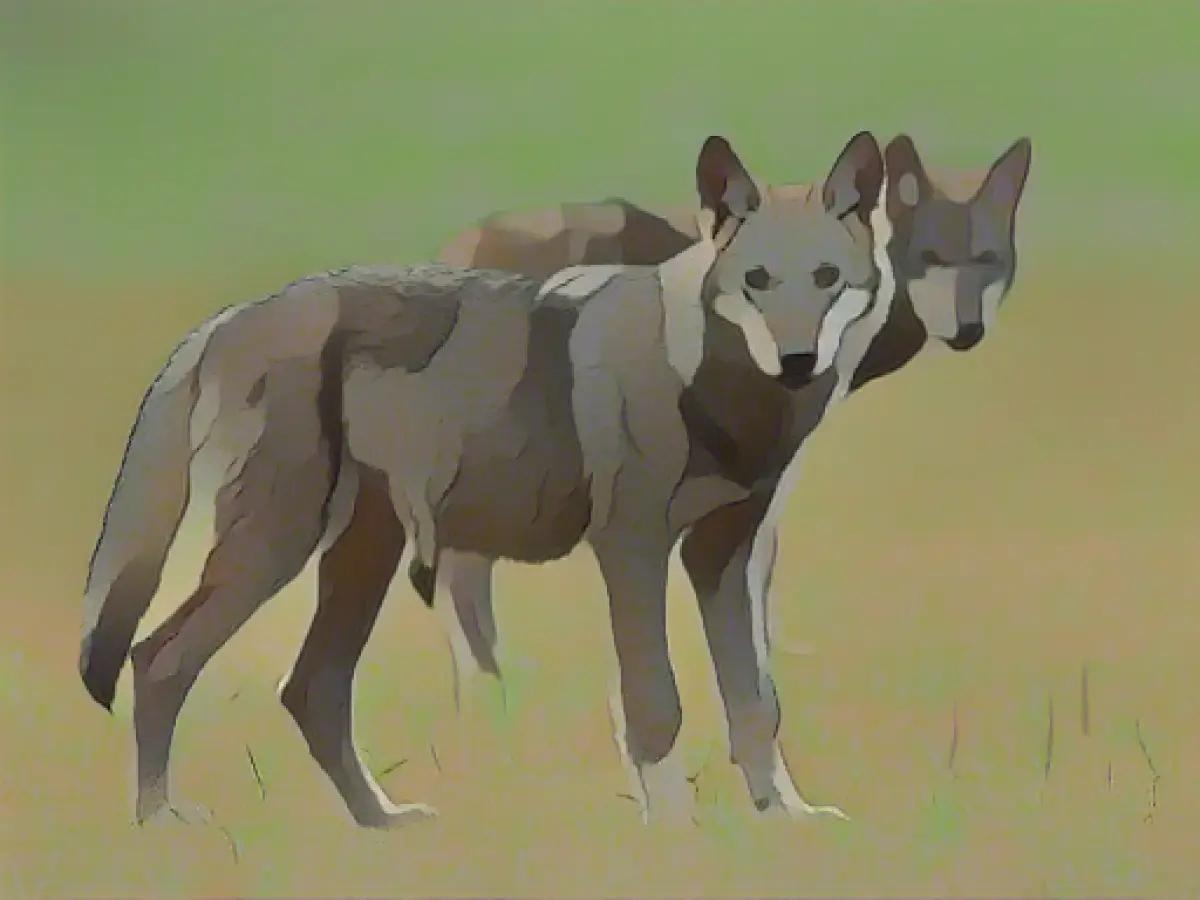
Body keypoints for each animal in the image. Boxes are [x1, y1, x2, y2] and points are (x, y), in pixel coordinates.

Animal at [79, 131, 889, 828]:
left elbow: (756, 705)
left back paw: (382, 824)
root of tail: (228, 317)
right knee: (157, 660)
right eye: (757, 282)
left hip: (357, 561)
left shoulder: (725, 560)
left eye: (827, 280)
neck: (714, 386)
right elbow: (656, 704)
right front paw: (675, 832)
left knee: (310, 691)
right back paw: (162, 824)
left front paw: (784, 820)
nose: (797, 360)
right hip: (274, 551)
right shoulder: (634, 552)